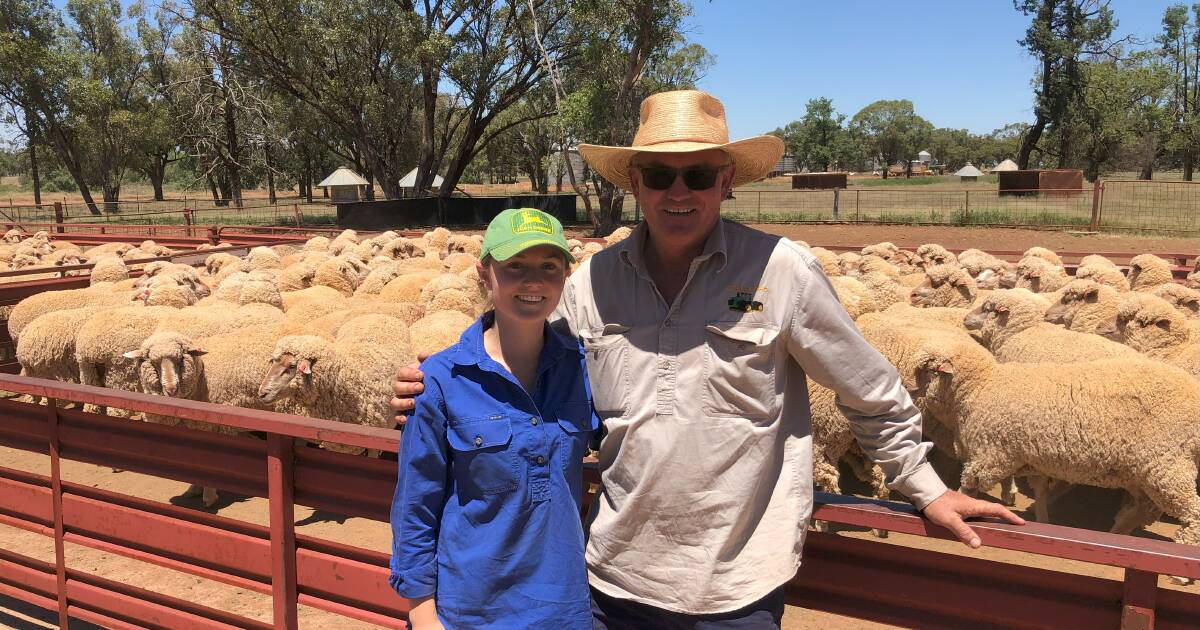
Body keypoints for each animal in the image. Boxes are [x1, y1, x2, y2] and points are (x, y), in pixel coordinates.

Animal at [907, 333, 1200, 549]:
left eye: (927, 367)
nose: (906, 386)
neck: (980, 387)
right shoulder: (1028, 456)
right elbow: (1039, 491)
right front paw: (1042, 519)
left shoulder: (992, 454)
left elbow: (969, 487)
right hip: (1142, 473)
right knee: (1143, 509)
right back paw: (1117, 534)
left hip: (1166, 464)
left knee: (1192, 512)